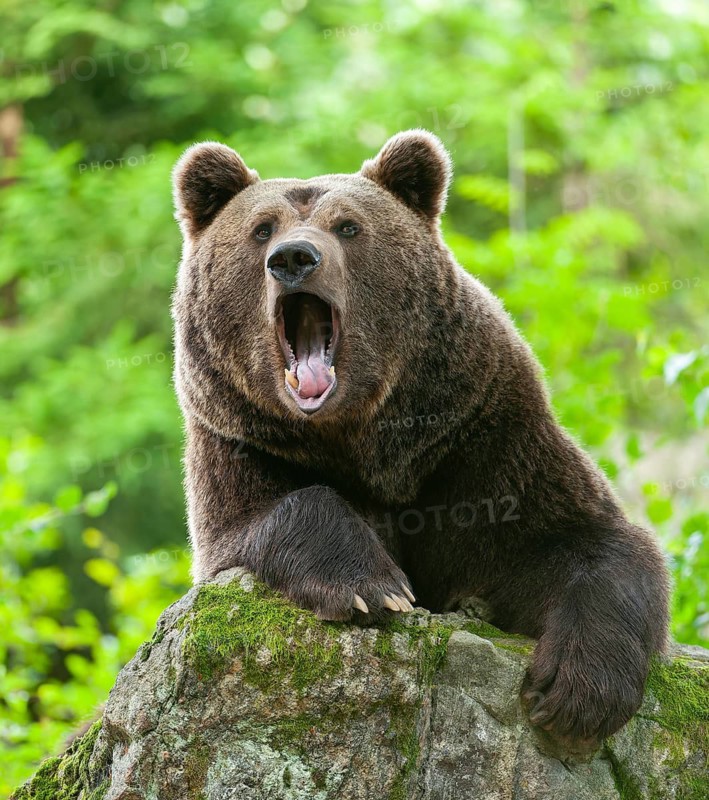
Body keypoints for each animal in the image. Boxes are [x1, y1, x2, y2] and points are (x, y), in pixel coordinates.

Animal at [171, 129, 669, 747]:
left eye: (348, 226)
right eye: (262, 228)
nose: (293, 259)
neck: (363, 438)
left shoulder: (481, 436)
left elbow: (586, 541)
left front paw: (577, 691)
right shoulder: (241, 441)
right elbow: (250, 524)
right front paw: (371, 583)